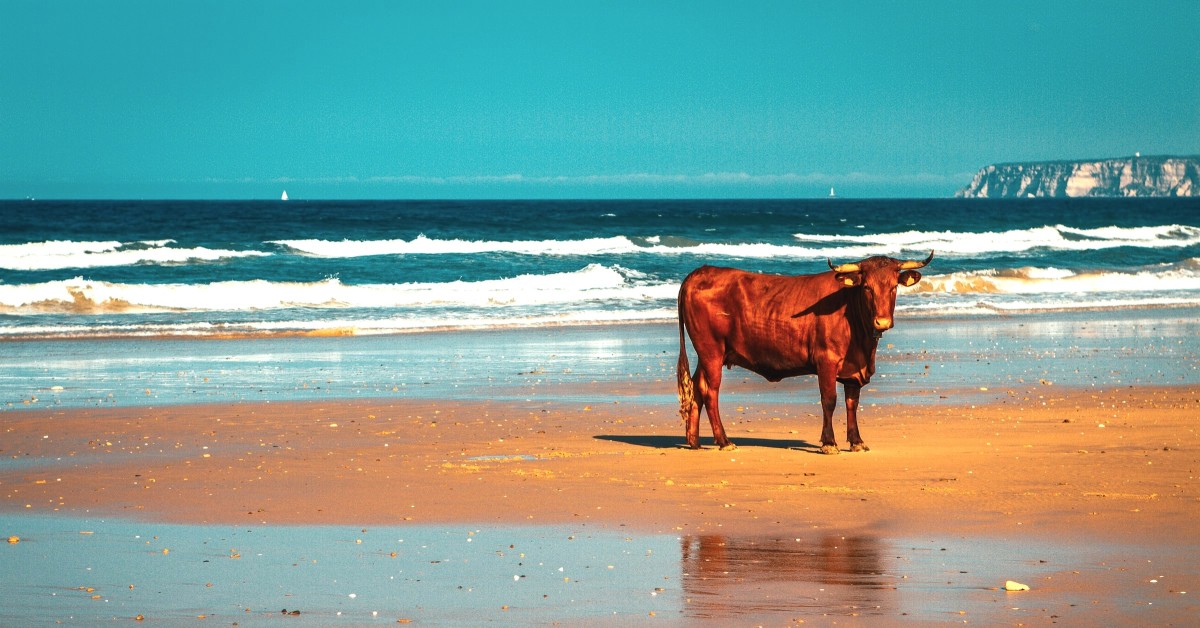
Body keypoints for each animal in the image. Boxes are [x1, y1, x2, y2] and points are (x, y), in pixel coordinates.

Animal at [676, 252, 933, 454]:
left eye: (893, 287)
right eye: (867, 288)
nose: (882, 322)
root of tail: (700, 272)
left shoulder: (853, 369)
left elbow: (852, 402)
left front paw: (857, 441)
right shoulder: (826, 360)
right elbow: (829, 400)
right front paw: (829, 443)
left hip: (707, 354)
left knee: (697, 387)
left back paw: (694, 441)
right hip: (711, 350)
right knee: (710, 392)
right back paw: (724, 441)